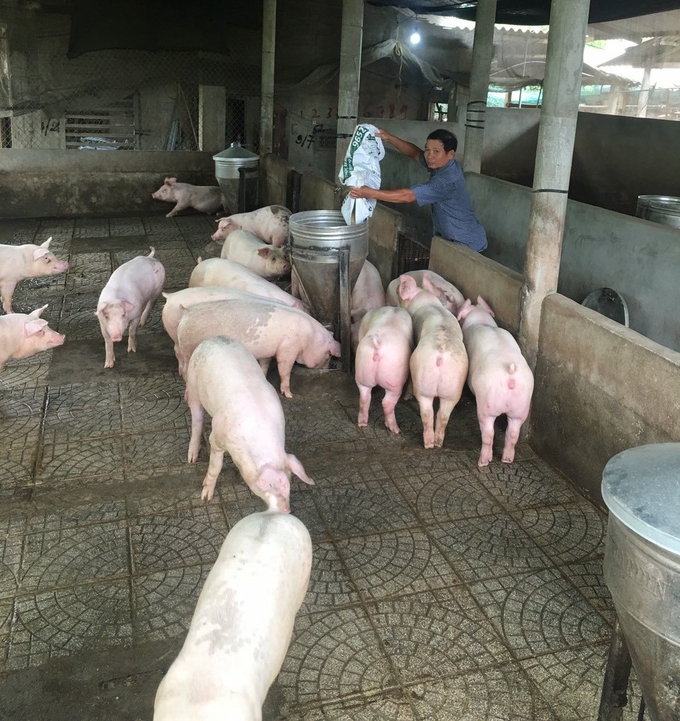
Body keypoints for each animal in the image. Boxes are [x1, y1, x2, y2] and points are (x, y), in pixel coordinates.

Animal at [178, 300, 342, 400]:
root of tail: (186, 312)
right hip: (188, 348)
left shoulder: (267, 352)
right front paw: (290, 395)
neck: (309, 337)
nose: (327, 368)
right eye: (328, 355)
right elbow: (284, 370)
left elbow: (265, 365)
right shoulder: (288, 348)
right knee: (186, 373)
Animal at [356, 306, 414, 434]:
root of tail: (378, 346)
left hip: (362, 372)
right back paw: (396, 429)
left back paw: (362, 423)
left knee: (364, 398)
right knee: (386, 403)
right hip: (394, 381)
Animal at [460, 294, 532, 466]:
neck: (482, 321)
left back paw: (483, 462)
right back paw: (507, 460)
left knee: (488, 434)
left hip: (487, 406)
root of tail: (510, 374)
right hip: (521, 408)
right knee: (512, 434)